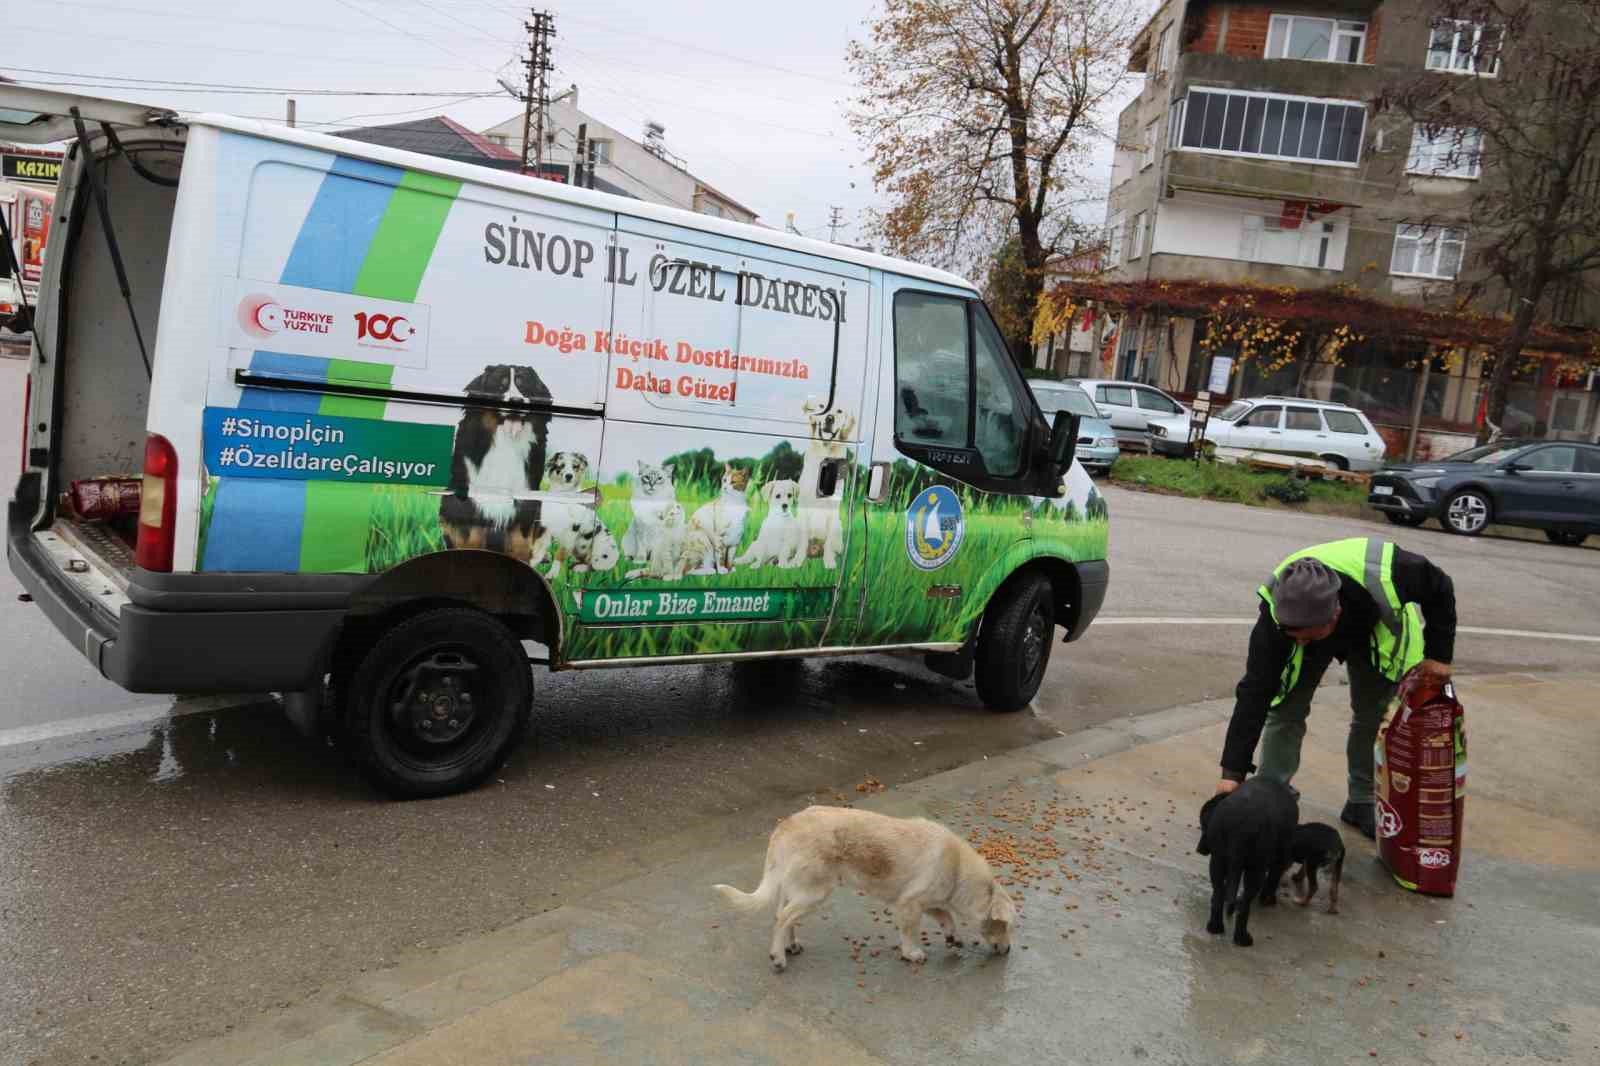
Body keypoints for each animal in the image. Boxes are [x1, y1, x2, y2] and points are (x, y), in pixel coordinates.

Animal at [713, 806, 1011, 973]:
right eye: (1006, 925)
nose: (1008, 951)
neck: (958, 868)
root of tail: (785, 825)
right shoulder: (909, 905)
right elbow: (910, 933)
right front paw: (911, 953)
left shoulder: (927, 902)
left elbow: (946, 916)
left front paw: (953, 937)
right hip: (814, 893)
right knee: (783, 917)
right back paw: (777, 957)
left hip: (797, 890)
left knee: (783, 915)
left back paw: (790, 946)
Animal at [796, 396, 857, 563]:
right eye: (822, 406)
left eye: (840, 411)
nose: (829, 418)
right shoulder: (804, 505)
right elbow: (803, 538)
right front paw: (797, 561)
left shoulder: (832, 508)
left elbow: (829, 542)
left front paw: (829, 563)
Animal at [1203, 777, 1299, 941]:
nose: (1201, 849)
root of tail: (1243, 823)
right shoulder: (1280, 860)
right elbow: (1272, 880)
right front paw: (1268, 900)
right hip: (1256, 868)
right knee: (1245, 903)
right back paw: (1242, 938)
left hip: (1218, 860)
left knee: (1219, 893)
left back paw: (1215, 927)